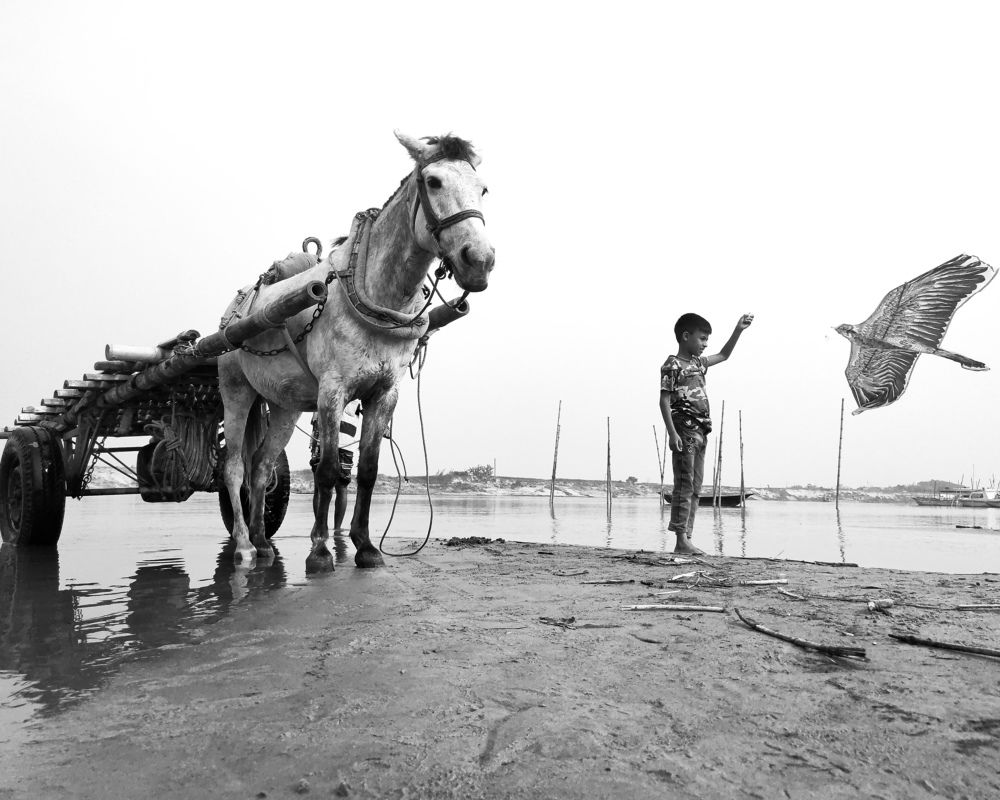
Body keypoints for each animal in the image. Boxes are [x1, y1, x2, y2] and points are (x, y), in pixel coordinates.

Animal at [217, 132, 494, 571]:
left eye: (483, 189)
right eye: (433, 181)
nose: (480, 260)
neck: (374, 292)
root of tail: (237, 307)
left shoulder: (384, 393)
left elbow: (367, 469)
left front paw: (365, 546)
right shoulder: (333, 391)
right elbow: (329, 471)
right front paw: (319, 550)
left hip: (284, 404)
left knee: (260, 466)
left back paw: (262, 542)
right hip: (236, 390)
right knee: (232, 468)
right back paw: (244, 544)